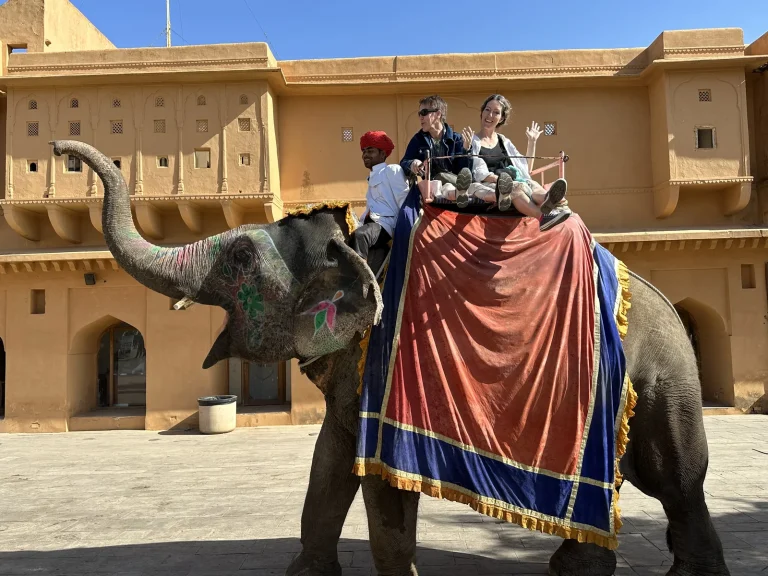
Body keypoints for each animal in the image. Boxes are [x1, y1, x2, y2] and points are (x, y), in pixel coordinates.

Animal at [52, 140, 731, 576]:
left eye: (242, 257)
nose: (62, 151)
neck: (357, 241)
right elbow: (330, 461)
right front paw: (305, 573)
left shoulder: (385, 365)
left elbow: (378, 481)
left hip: (662, 374)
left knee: (674, 476)